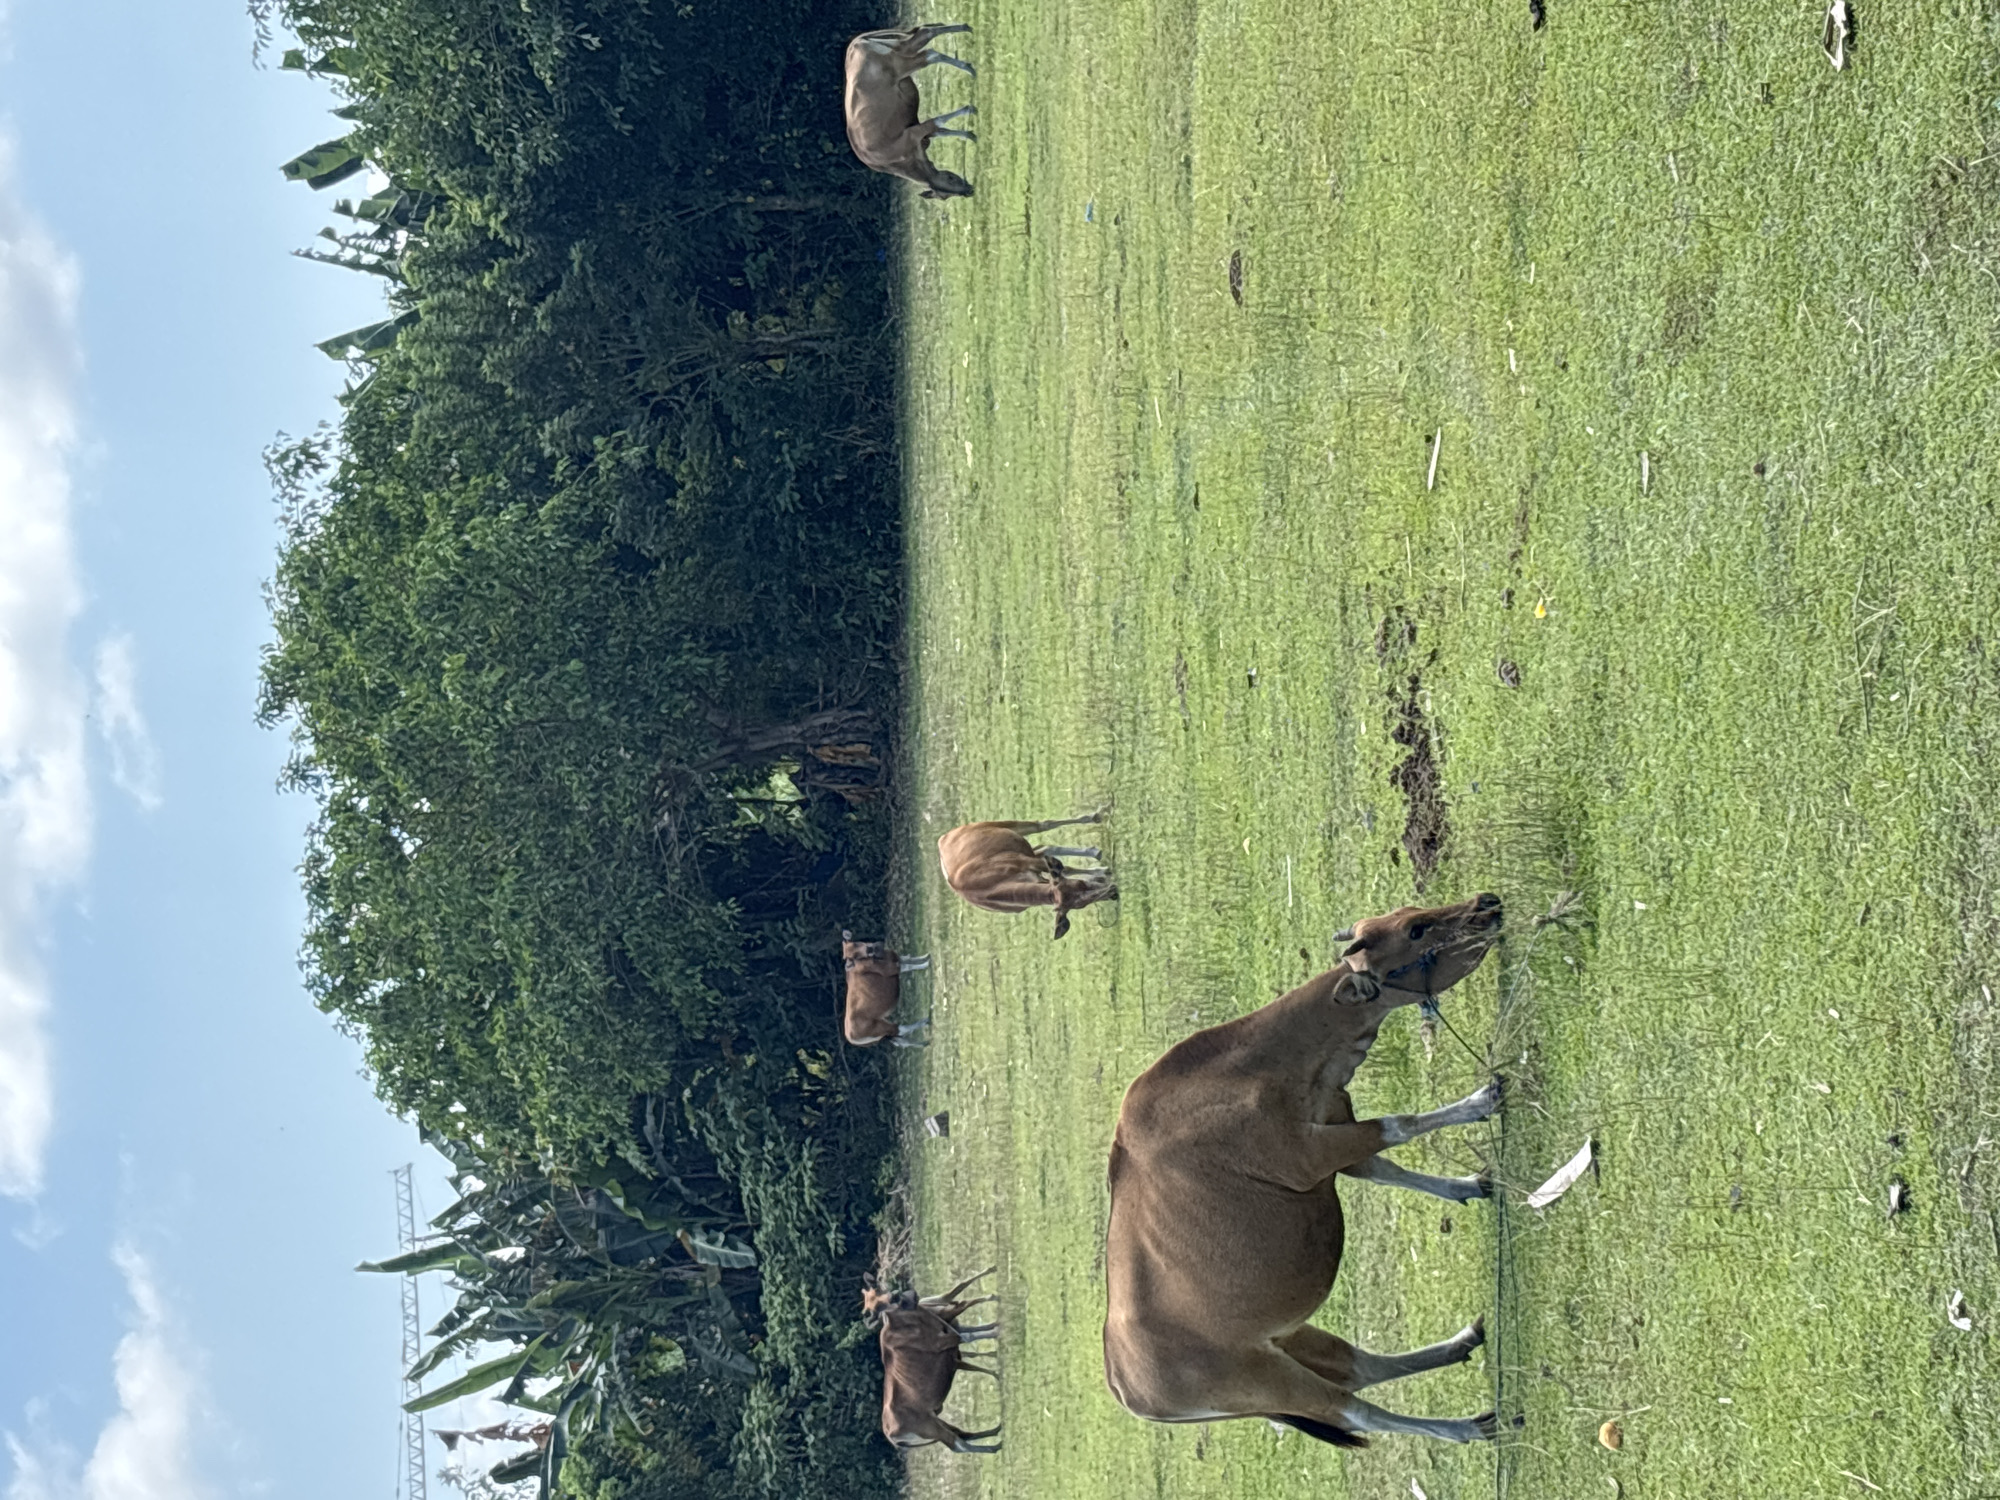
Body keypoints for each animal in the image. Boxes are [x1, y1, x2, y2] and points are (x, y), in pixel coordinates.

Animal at [843, 24, 976, 199]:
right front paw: (971, 135)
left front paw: (971, 111)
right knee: (926, 33)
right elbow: (941, 130)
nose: (969, 191)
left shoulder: (913, 134)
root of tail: (856, 43)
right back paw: (966, 30)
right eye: (944, 195)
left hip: (900, 64)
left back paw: (969, 68)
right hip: (903, 47)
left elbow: (937, 122)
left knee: (930, 52)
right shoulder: (918, 131)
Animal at [938, 815, 1116, 939]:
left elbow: (1065, 868)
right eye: (1080, 905)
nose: (1113, 892)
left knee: (1042, 825)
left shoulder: (1027, 861)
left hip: (1003, 826)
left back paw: (1096, 816)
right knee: (1045, 847)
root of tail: (945, 838)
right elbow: (1063, 870)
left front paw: (1103, 873)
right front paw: (1102, 875)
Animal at [1103, 895, 1508, 1448]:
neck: (1256, 1067)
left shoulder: (1335, 1130)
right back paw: (1464, 1427)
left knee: (1361, 1367)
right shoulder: (1310, 1154)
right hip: (1267, 1380)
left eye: (1408, 912)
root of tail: (1126, 1388)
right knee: (1356, 1411)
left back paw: (1459, 1344)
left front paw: (1468, 1185)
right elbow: (1399, 1125)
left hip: (1288, 1339)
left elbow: (1384, 1165)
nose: (1487, 904)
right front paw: (1478, 1102)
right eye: (1416, 930)